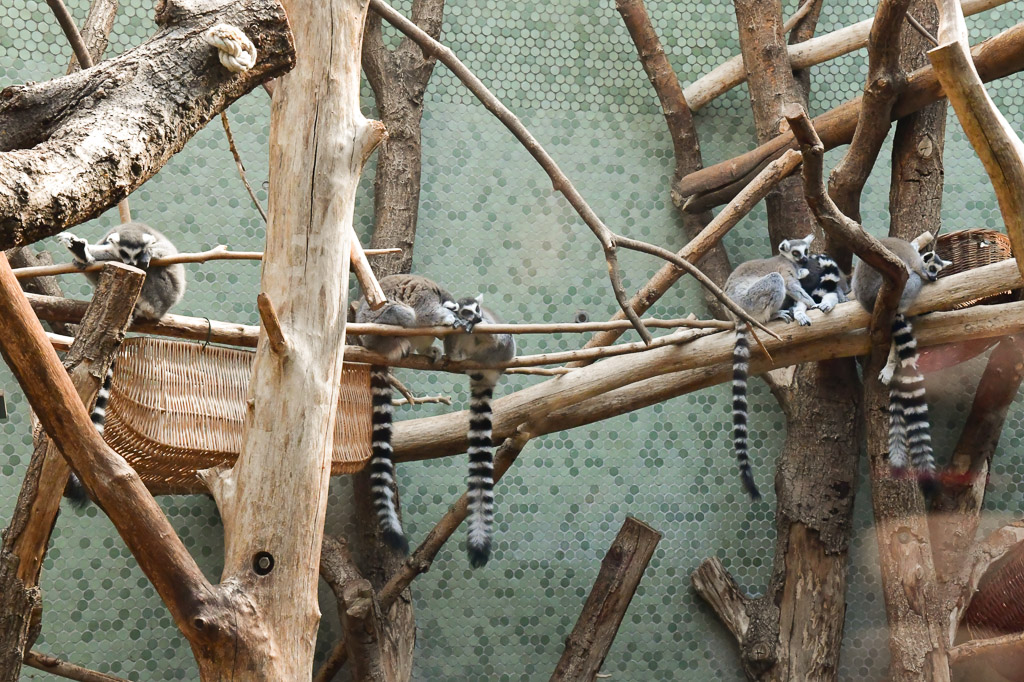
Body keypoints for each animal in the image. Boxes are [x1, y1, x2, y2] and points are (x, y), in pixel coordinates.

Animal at [55, 223, 188, 507]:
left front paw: (150, 254)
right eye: (127, 253)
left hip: (161, 293)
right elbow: (104, 253)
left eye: (135, 254)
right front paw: (82, 252)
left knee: (155, 274)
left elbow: (167, 251)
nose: (131, 263)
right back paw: (84, 258)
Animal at [354, 274, 470, 553]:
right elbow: (427, 313)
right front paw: (449, 319)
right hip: (377, 327)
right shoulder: (426, 298)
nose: (460, 317)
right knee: (407, 315)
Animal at [443, 294, 516, 568]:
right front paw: (459, 324)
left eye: (477, 309)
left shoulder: (494, 331)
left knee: (502, 342)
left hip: (506, 353)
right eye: (467, 310)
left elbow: (497, 335)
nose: (475, 317)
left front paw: (476, 325)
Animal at [723, 234, 826, 500]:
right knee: (775, 281)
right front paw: (810, 303)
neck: (787, 260)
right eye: (796, 253)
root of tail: (736, 313)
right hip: (753, 299)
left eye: (806, 250)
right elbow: (791, 284)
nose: (805, 259)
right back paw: (775, 315)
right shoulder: (785, 268)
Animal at [851, 239, 950, 490]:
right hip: (904, 288)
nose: (934, 278)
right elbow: (916, 271)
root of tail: (872, 300)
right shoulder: (917, 266)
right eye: (933, 269)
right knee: (912, 281)